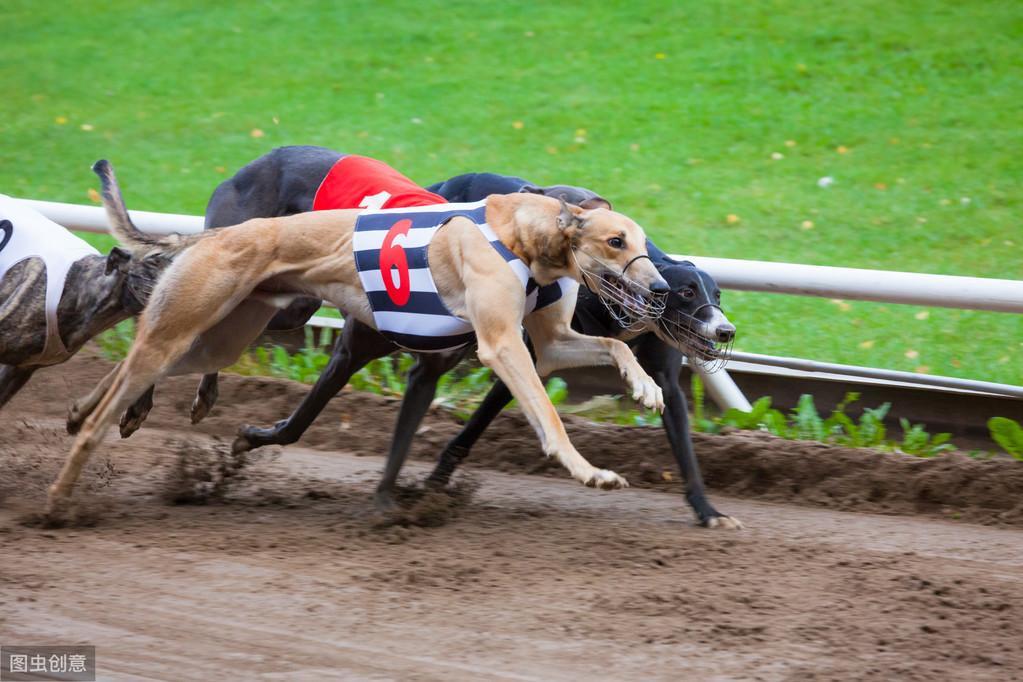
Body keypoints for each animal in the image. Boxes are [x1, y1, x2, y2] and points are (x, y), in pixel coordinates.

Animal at [49, 161, 671, 511]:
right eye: (616, 240)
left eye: (643, 240)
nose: (662, 286)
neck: (521, 236)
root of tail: (220, 234)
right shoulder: (500, 344)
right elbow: (548, 414)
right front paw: (591, 472)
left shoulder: (548, 338)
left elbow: (613, 344)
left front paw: (647, 389)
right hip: (214, 319)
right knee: (139, 357)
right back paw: (69, 477)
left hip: (227, 332)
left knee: (137, 365)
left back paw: (82, 410)